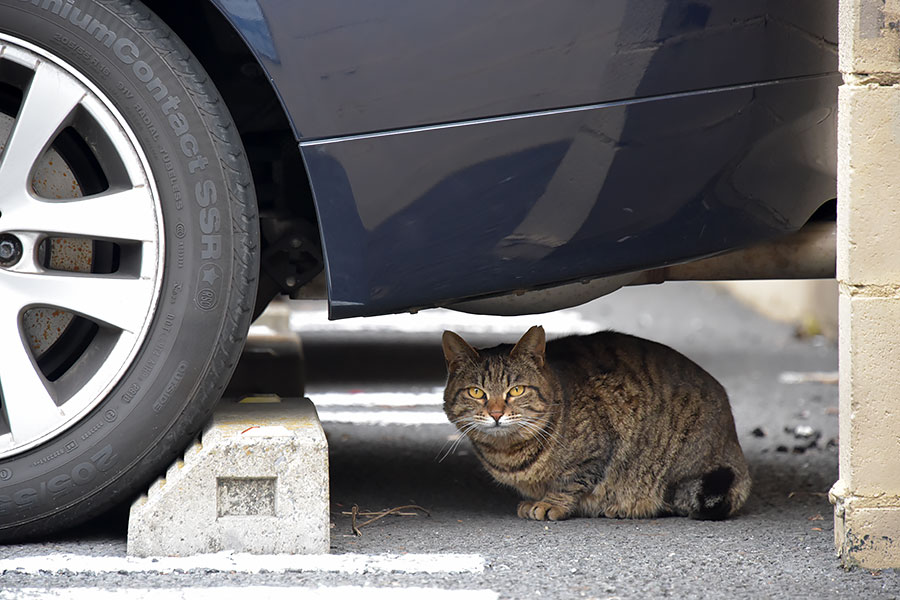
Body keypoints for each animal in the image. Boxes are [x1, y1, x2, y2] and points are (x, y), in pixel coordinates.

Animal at [440, 326, 748, 516]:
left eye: (516, 390)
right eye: (476, 392)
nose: (495, 413)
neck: (507, 453)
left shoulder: (597, 449)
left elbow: (569, 482)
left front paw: (550, 504)